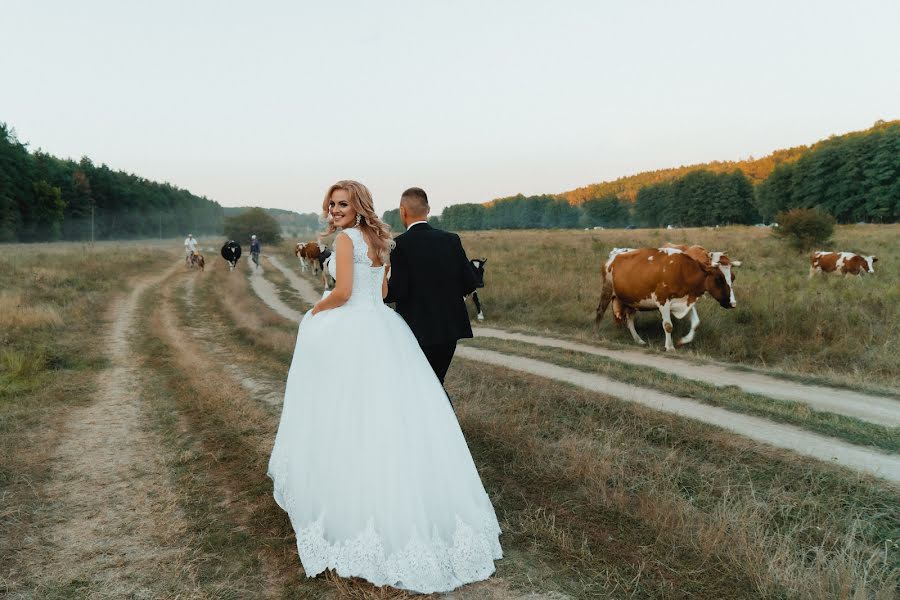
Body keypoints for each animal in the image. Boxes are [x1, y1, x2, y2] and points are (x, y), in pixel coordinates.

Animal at [596, 247, 740, 352]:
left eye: (733, 277)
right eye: (718, 278)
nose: (733, 303)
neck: (683, 271)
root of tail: (615, 254)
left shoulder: (687, 301)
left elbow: (696, 323)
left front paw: (683, 341)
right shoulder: (662, 301)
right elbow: (668, 326)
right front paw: (670, 347)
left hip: (633, 301)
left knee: (630, 320)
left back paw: (638, 340)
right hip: (607, 290)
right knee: (600, 311)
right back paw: (596, 334)